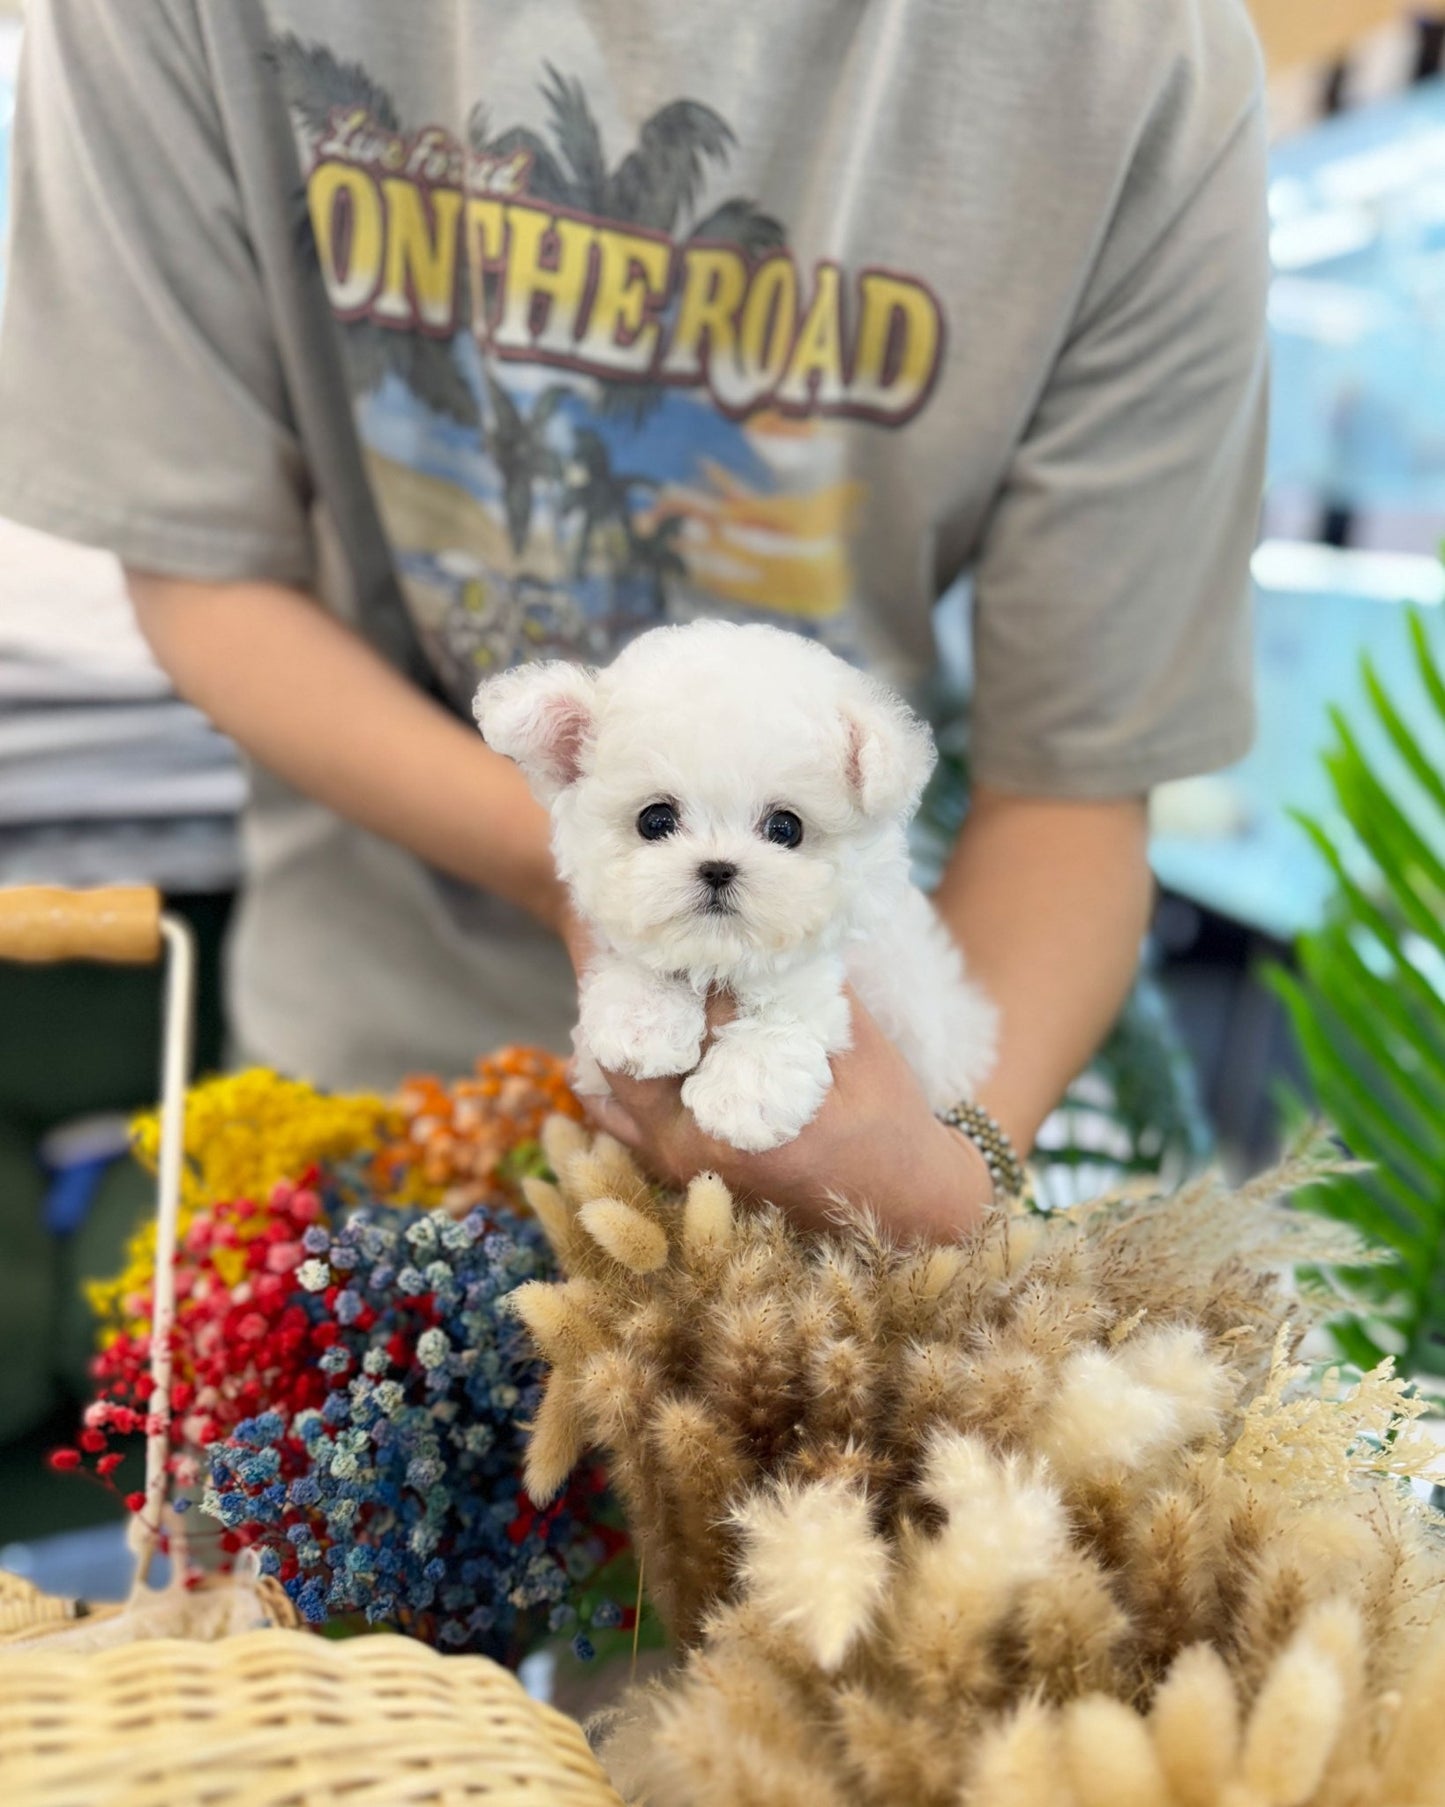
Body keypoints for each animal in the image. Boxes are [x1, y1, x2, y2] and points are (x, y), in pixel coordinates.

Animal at [473, 621, 997, 1156]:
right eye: (655, 820)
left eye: (786, 828)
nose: (718, 868)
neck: (721, 957)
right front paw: (643, 1020)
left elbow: (796, 997)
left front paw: (744, 1097)